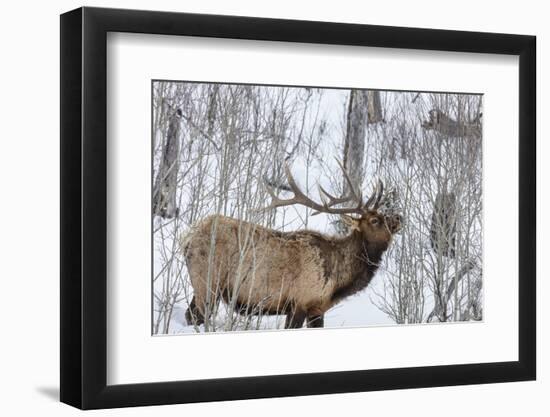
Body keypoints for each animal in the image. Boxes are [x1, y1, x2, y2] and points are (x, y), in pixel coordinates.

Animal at [183, 162, 404, 328]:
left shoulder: (316, 308)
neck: (338, 281)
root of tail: (187, 238)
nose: (399, 218)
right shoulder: (300, 301)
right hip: (206, 281)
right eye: (375, 220)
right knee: (195, 317)